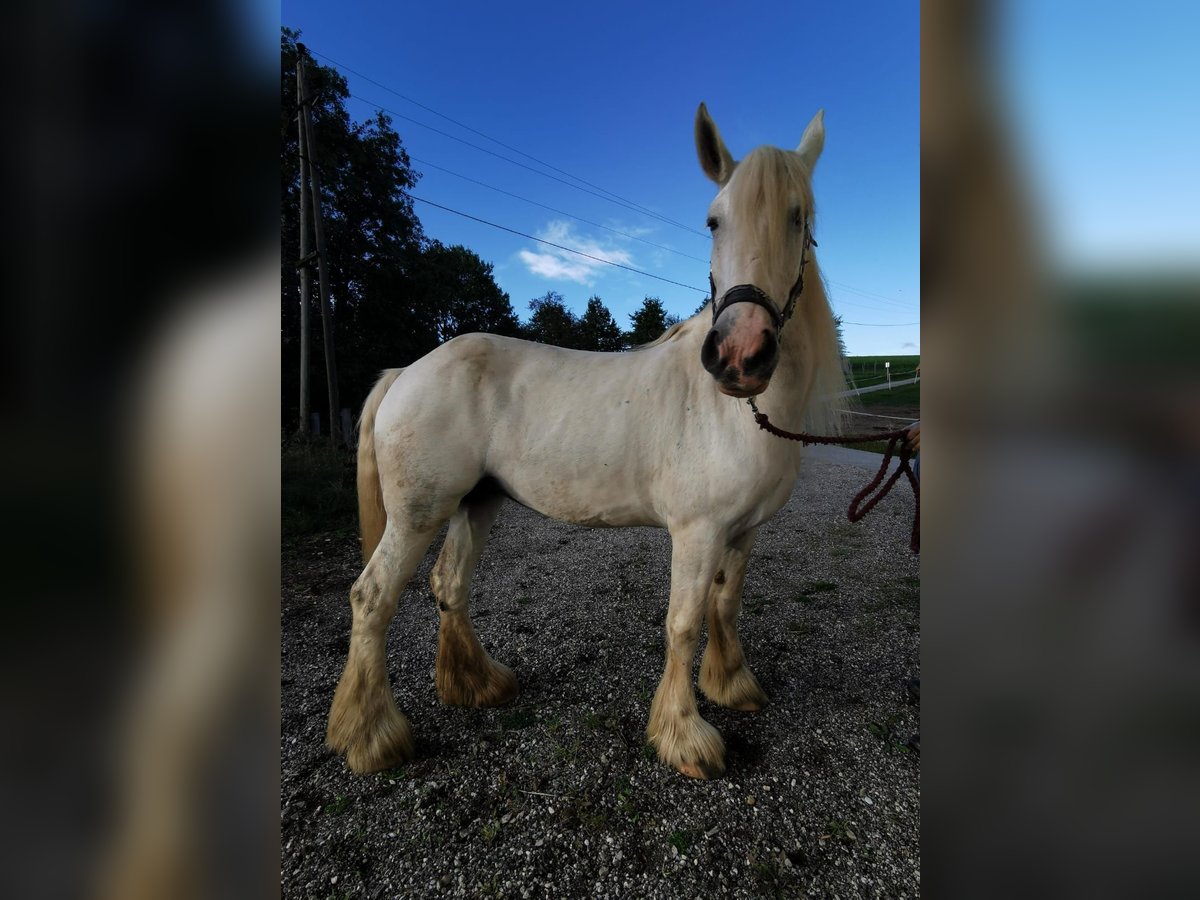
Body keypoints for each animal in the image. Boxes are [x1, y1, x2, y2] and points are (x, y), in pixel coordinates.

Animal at [327, 104, 845, 779]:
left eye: (799, 217)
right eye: (714, 220)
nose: (739, 356)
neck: (734, 412)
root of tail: (407, 371)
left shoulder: (745, 531)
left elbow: (725, 605)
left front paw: (733, 686)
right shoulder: (698, 531)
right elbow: (684, 622)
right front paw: (685, 736)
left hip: (477, 502)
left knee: (449, 584)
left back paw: (479, 685)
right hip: (418, 513)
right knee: (371, 599)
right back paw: (372, 738)